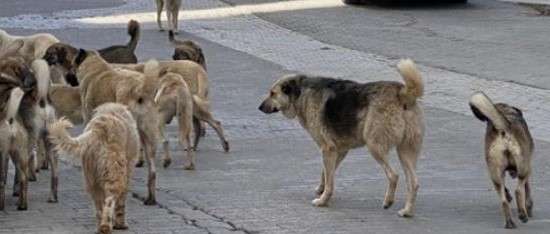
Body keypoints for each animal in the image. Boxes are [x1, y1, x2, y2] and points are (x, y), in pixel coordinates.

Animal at [48, 103, 141, 233]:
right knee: (109, 202)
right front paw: (121, 224)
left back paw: (101, 226)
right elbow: (121, 204)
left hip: (92, 180)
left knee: (99, 206)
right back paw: (106, 226)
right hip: (115, 175)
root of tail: (99, 129)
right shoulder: (128, 171)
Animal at [260, 59, 426, 218]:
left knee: (393, 175)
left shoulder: (327, 149)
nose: (259, 108)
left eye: (272, 93)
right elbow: (326, 174)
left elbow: (329, 180)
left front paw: (322, 201)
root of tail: (402, 93)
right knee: (414, 182)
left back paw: (388, 201)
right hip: (405, 152)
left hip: (375, 146)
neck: (301, 93)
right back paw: (407, 211)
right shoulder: (338, 150)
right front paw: (321, 190)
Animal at [470, 91, 536, 229]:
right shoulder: (527, 167)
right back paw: (523, 215)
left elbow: (506, 191)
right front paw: (529, 207)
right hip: (523, 168)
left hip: (495, 173)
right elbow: (527, 189)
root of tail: (503, 129)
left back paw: (510, 222)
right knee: (518, 190)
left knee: (504, 201)